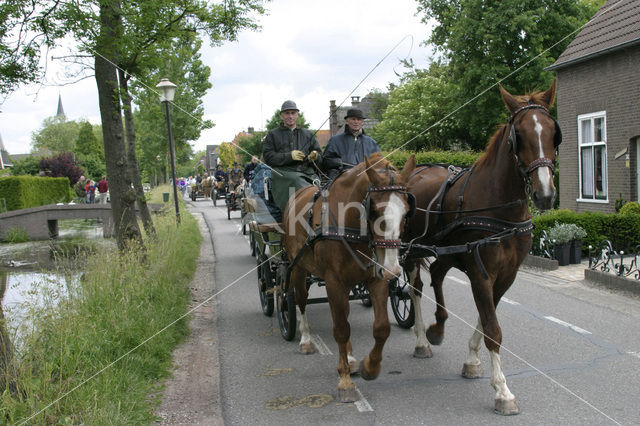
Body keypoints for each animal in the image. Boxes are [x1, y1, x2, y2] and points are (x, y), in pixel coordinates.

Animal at [284, 152, 416, 402]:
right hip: (298, 269)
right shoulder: (334, 282)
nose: (393, 270)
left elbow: (381, 327)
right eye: (373, 211)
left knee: (343, 313)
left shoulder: (375, 278)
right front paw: (344, 381)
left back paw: (352, 358)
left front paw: (369, 367)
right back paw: (306, 340)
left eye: (406, 212)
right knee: (301, 300)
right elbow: (341, 329)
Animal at [404, 79, 560, 412]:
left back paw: (438, 328)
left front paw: (472, 361)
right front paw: (502, 390)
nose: (544, 194)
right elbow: (493, 328)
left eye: (554, 131)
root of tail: (412, 172)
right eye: (519, 134)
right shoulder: (480, 272)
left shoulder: (505, 275)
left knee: (437, 273)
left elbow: (486, 319)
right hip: (409, 251)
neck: (500, 208)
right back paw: (422, 339)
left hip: (446, 251)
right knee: (416, 288)